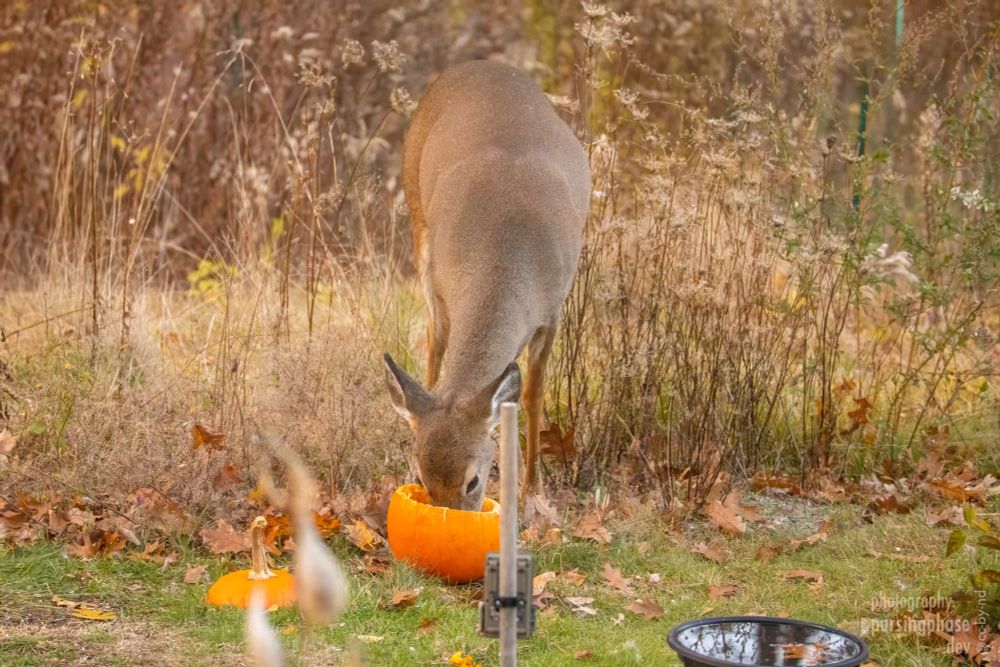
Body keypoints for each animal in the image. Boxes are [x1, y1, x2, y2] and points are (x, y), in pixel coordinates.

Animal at [383, 60, 590, 511]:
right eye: (422, 480)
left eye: (473, 481)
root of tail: (481, 64)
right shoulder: (442, 286)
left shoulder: (550, 313)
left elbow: (531, 395)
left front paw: (532, 491)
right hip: (417, 217)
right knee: (434, 345)